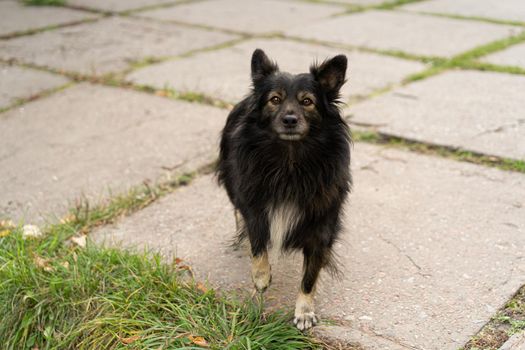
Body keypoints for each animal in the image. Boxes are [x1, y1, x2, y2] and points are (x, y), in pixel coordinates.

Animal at [215, 49, 350, 330]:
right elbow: (258, 246)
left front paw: (304, 311)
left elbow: (310, 276)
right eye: (274, 100)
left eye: (307, 102)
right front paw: (261, 278)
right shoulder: (256, 209)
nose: (290, 119)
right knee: (237, 212)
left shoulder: (321, 226)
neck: (289, 161)